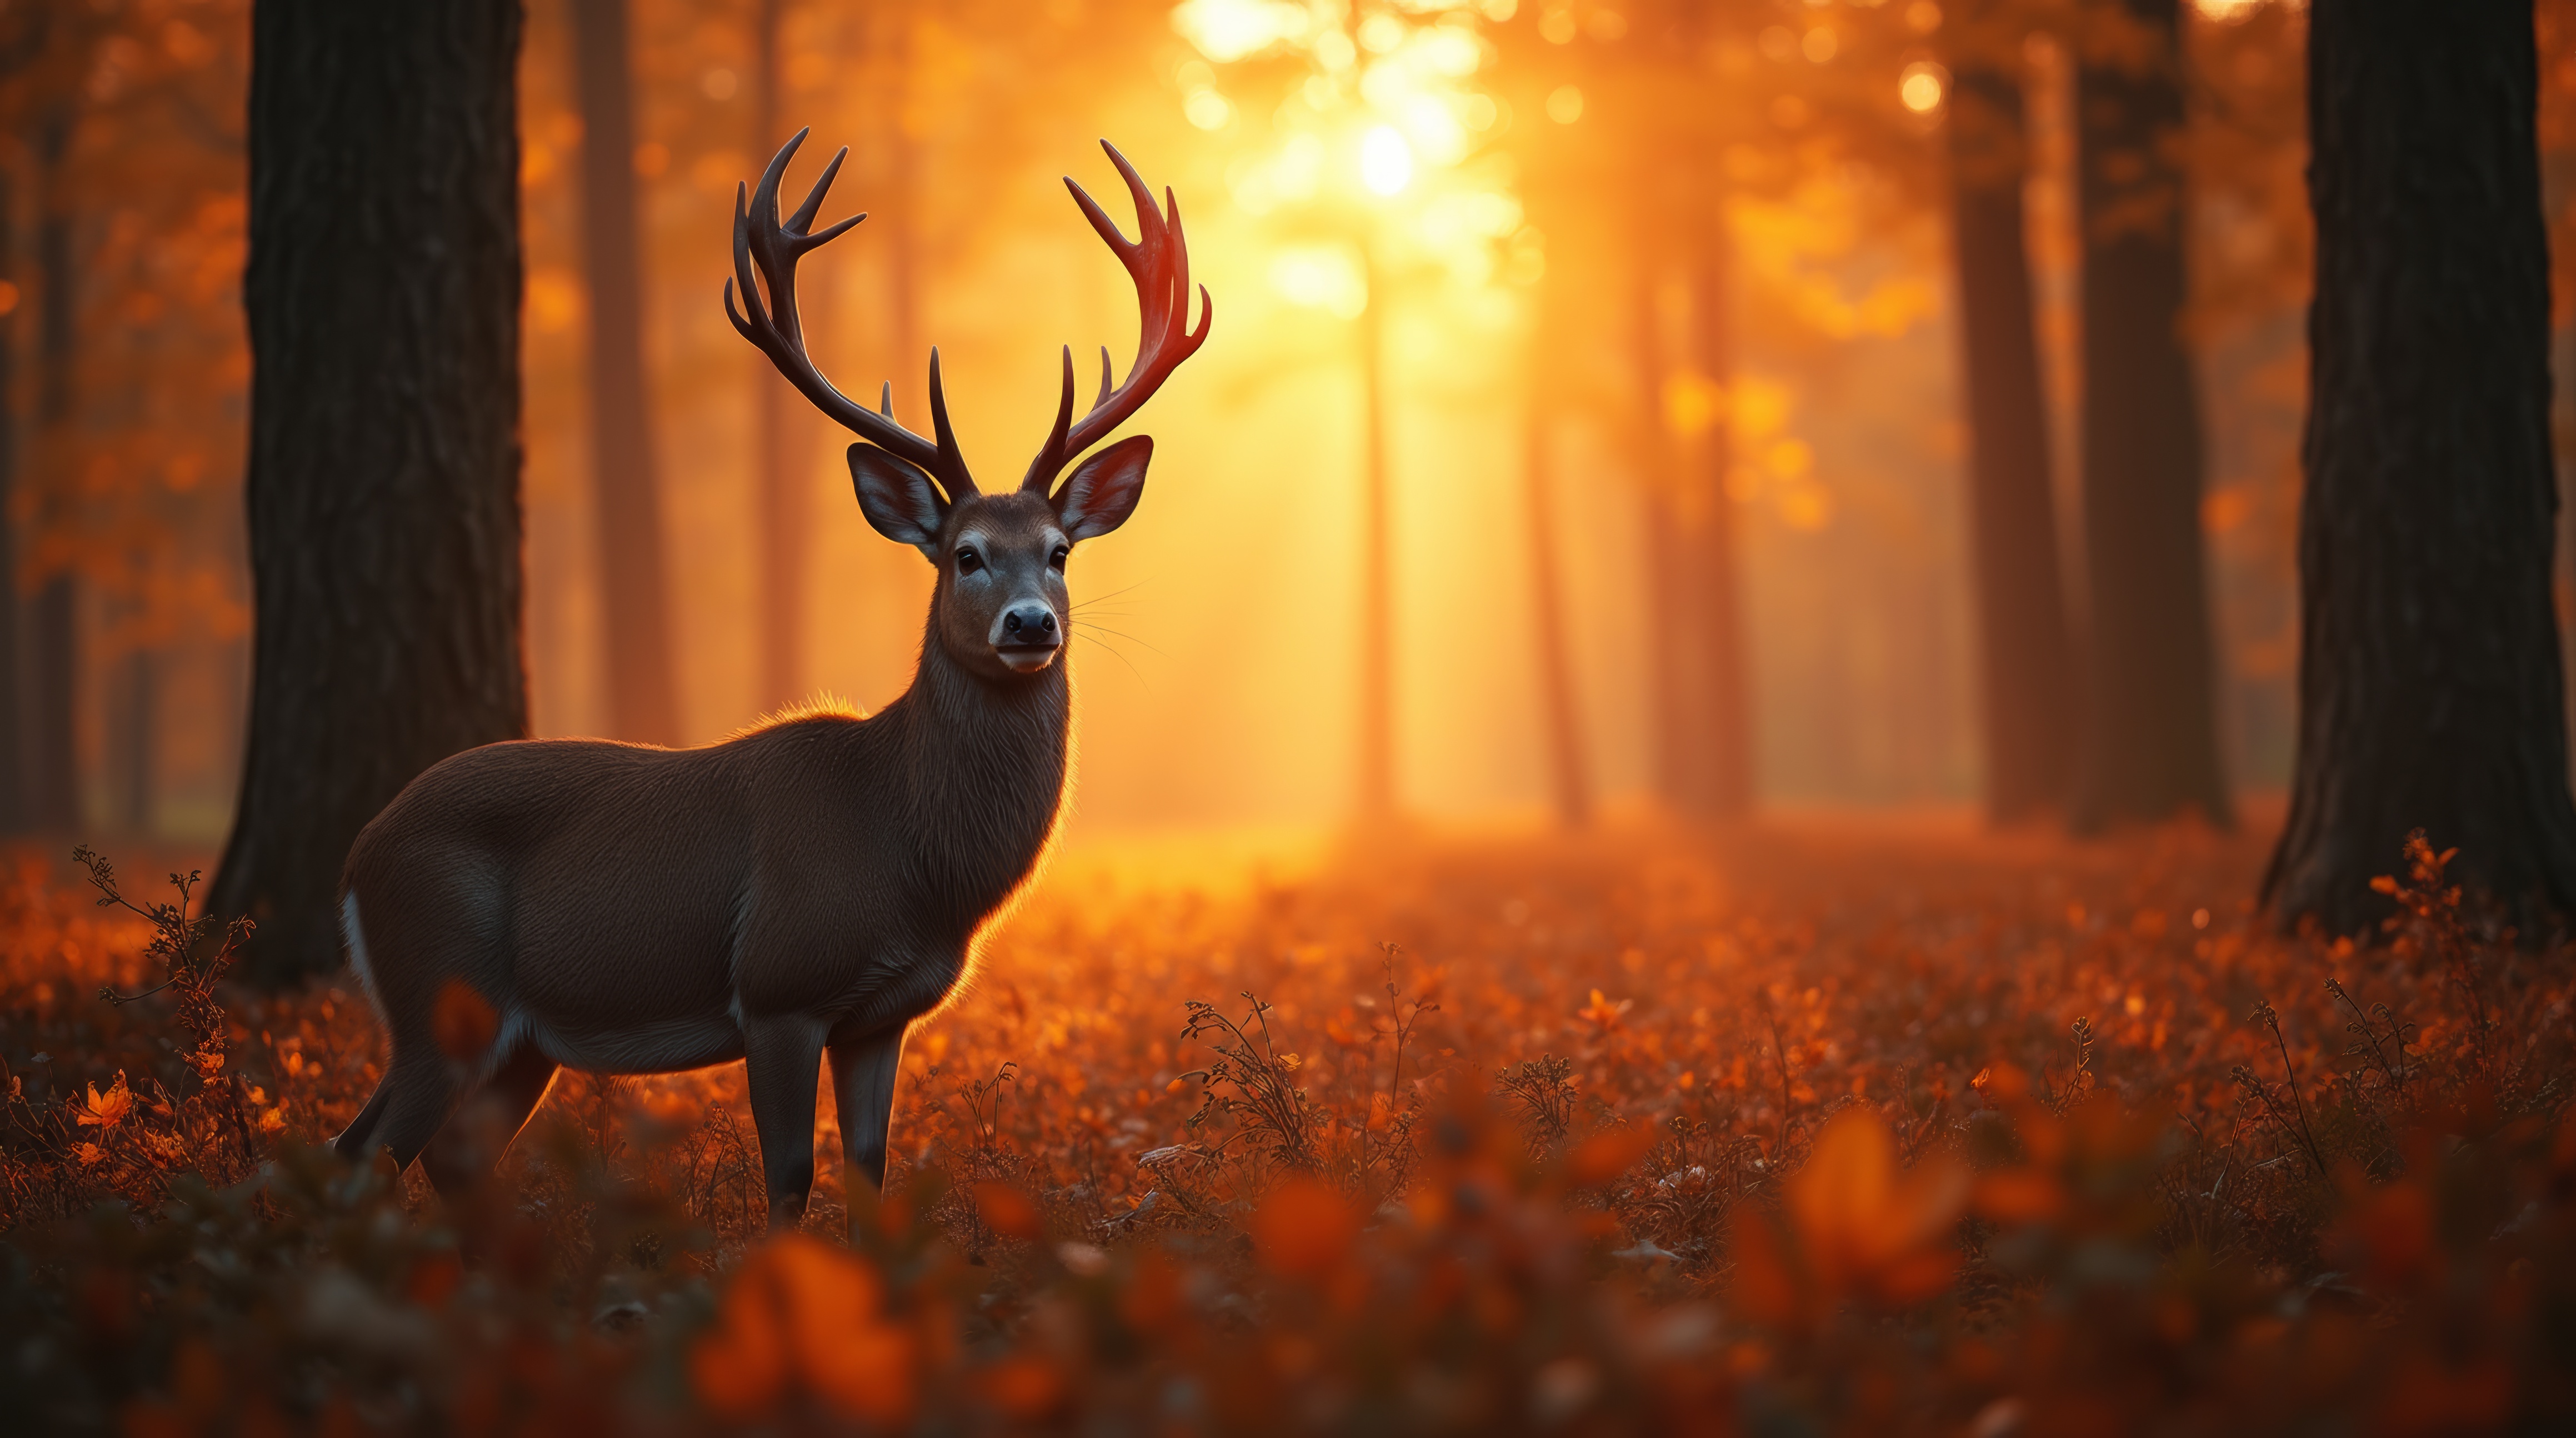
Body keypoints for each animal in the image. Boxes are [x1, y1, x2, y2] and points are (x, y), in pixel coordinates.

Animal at [328, 131, 1209, 1228]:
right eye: (964, 554)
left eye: (1058, 552)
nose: (1030, 623)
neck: (908, 848)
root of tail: (357, 854)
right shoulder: (781, 984)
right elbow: (788, 1177)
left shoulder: (882, 1016)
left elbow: (869, 1168)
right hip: (443, 992)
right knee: (363, 1150)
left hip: (517, 1037)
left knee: (432, 1157)